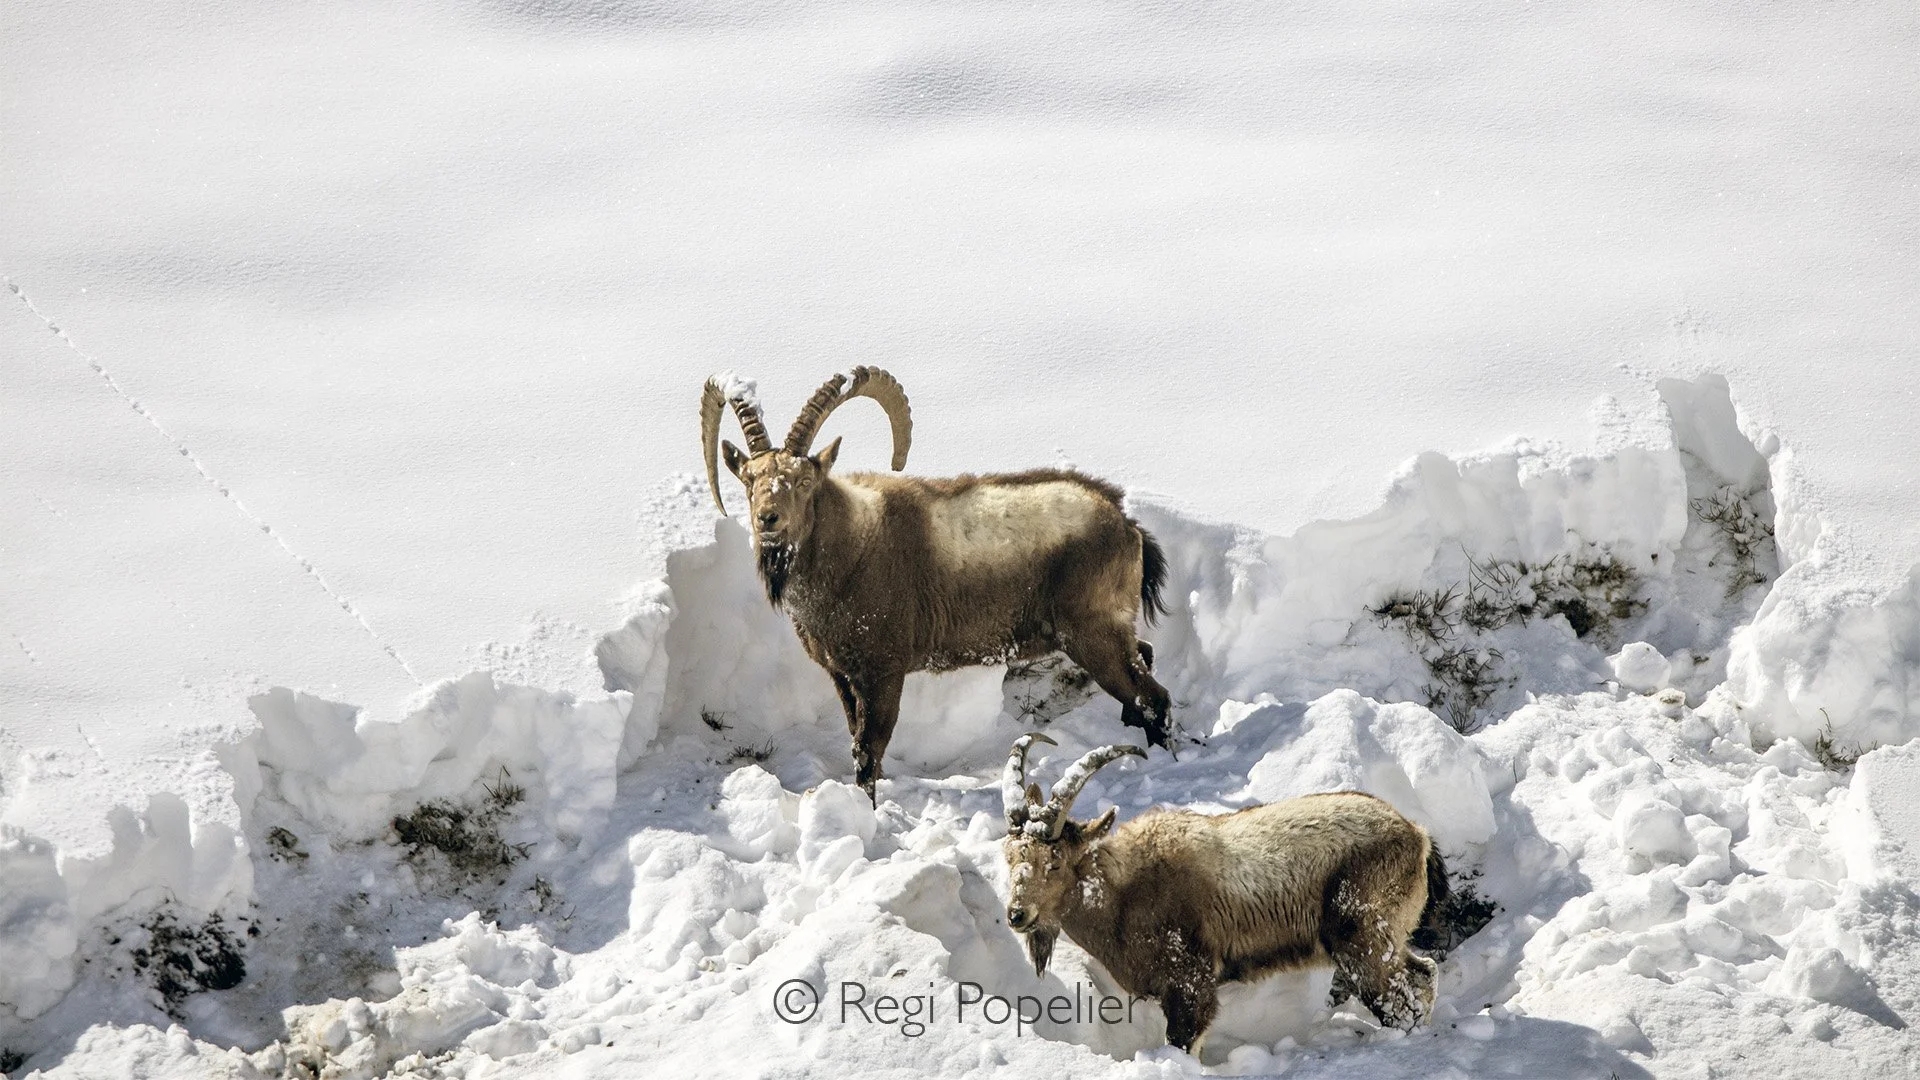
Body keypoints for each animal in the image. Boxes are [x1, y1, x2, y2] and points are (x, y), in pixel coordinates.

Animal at [700, 368, 1173, 800]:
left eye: (803, 481)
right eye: (749, 480)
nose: (768, 520)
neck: (852, 546)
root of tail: (1126, 524)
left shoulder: (884, 669)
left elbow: (868, 749)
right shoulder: (842, 674)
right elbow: (856, 735)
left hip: (1092, 634)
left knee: (1154, 697)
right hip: (1108, 630)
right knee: (1145, 660)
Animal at [999, 734, 1446, 1058]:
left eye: (1055, 861)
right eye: (1010, 856)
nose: (1018, 915)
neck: (1121, 895)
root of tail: (1416, 834)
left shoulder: (1188, 980)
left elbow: (1185, 1039)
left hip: (1360, 935)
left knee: (1403, 993)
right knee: (1423, 973)